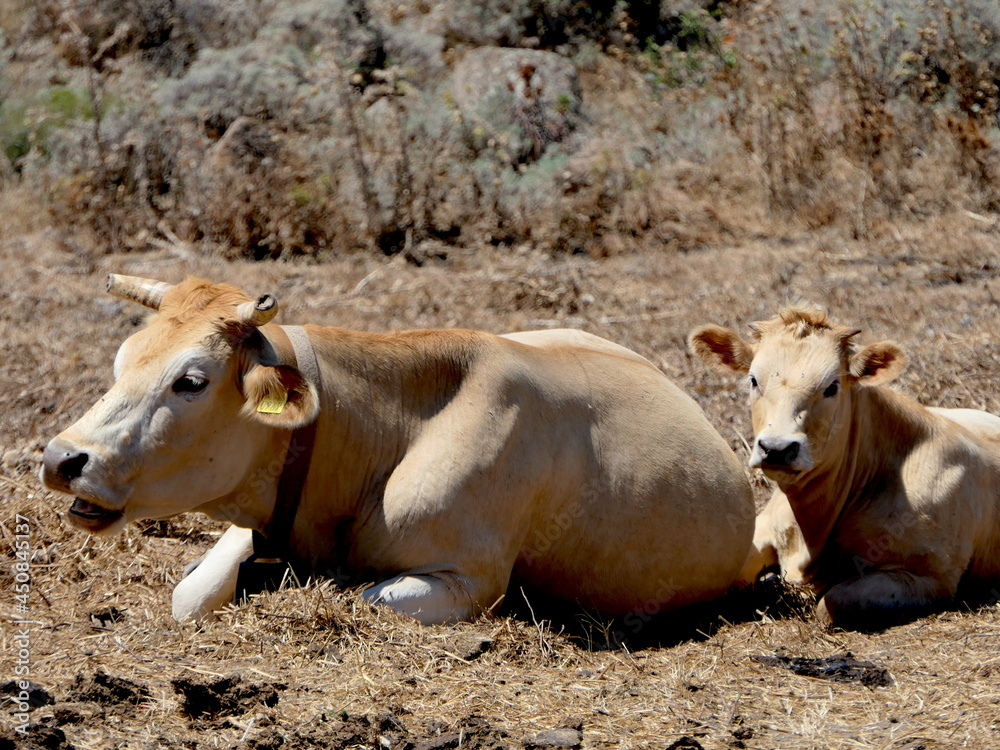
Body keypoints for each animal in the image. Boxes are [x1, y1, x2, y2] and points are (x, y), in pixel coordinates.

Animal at [43, 276, 752, 624]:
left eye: (191, 380)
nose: (61, 459)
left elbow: (362, 597)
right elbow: (188, 597)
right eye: (122, 359)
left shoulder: (471, 578)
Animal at [692, 308, 1000, 632]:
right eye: (753, 379)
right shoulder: (763, 529)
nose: (776, 448)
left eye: (831, 387)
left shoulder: (934, 575)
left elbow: (833, 602)